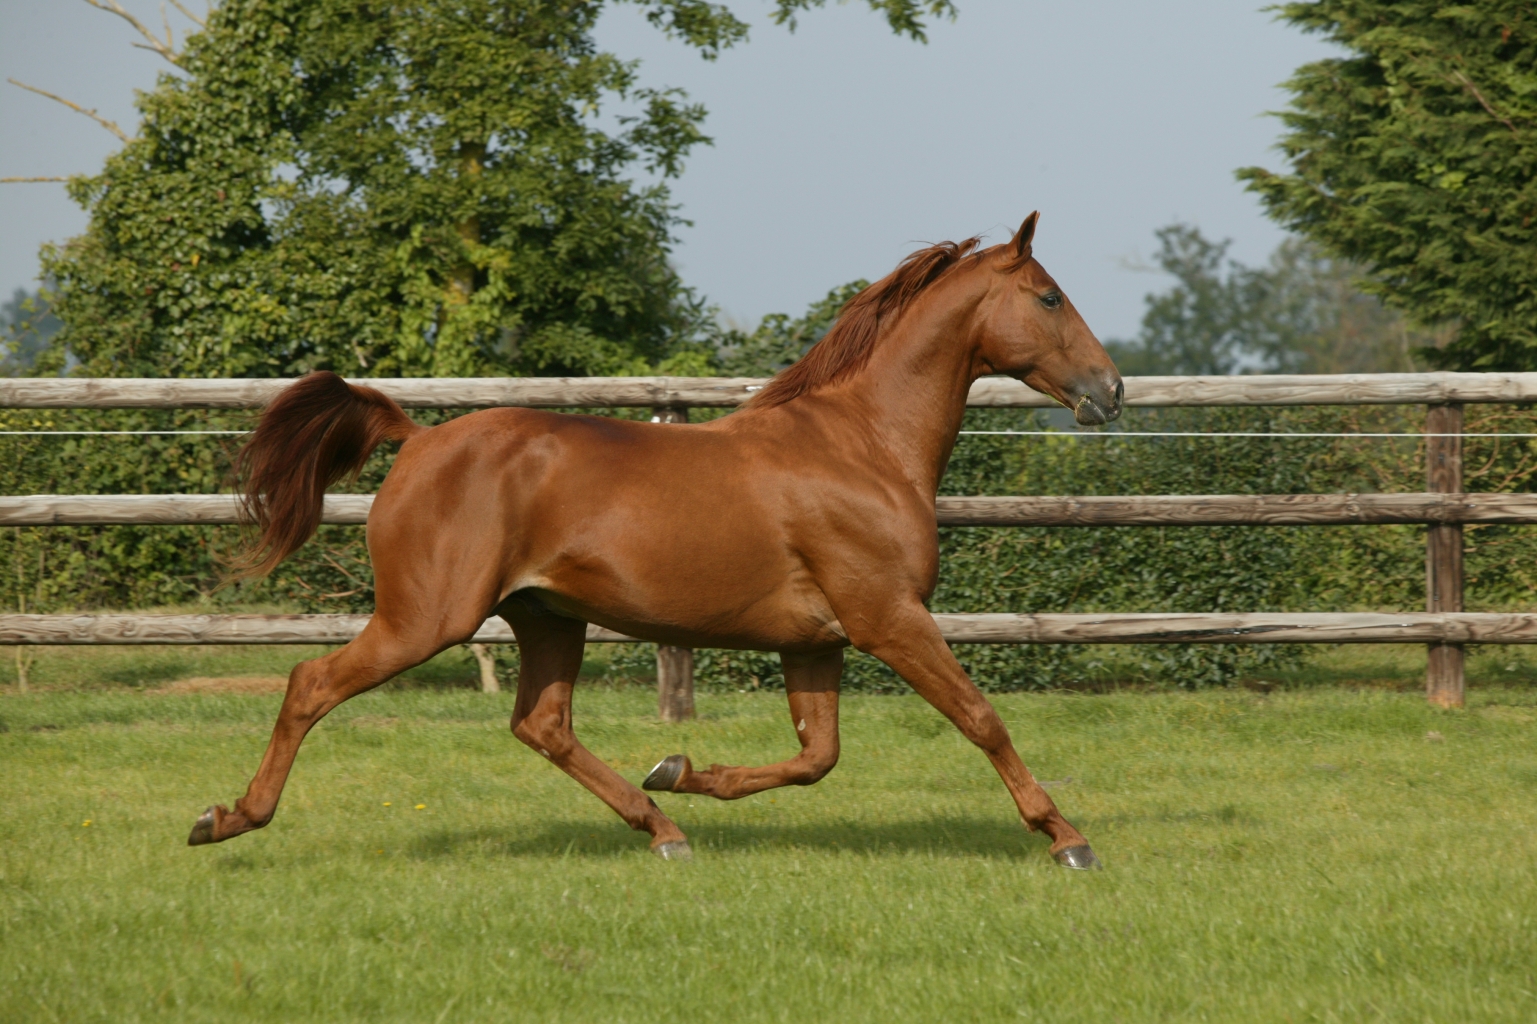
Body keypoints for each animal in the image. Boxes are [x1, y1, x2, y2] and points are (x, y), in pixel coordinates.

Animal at [195, 210, 1131, 867]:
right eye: (1048, 295)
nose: (1110, 390)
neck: (861, 446)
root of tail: (417, 440)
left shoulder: (816, 641)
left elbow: (817, 756)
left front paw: (683, 770)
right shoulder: (888, 619)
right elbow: (980, 718)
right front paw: (1065, 837)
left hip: (545, 617)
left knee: (543, 725)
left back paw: (663, 824)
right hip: (429, 619)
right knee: (311, 684)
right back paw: (227, 817)